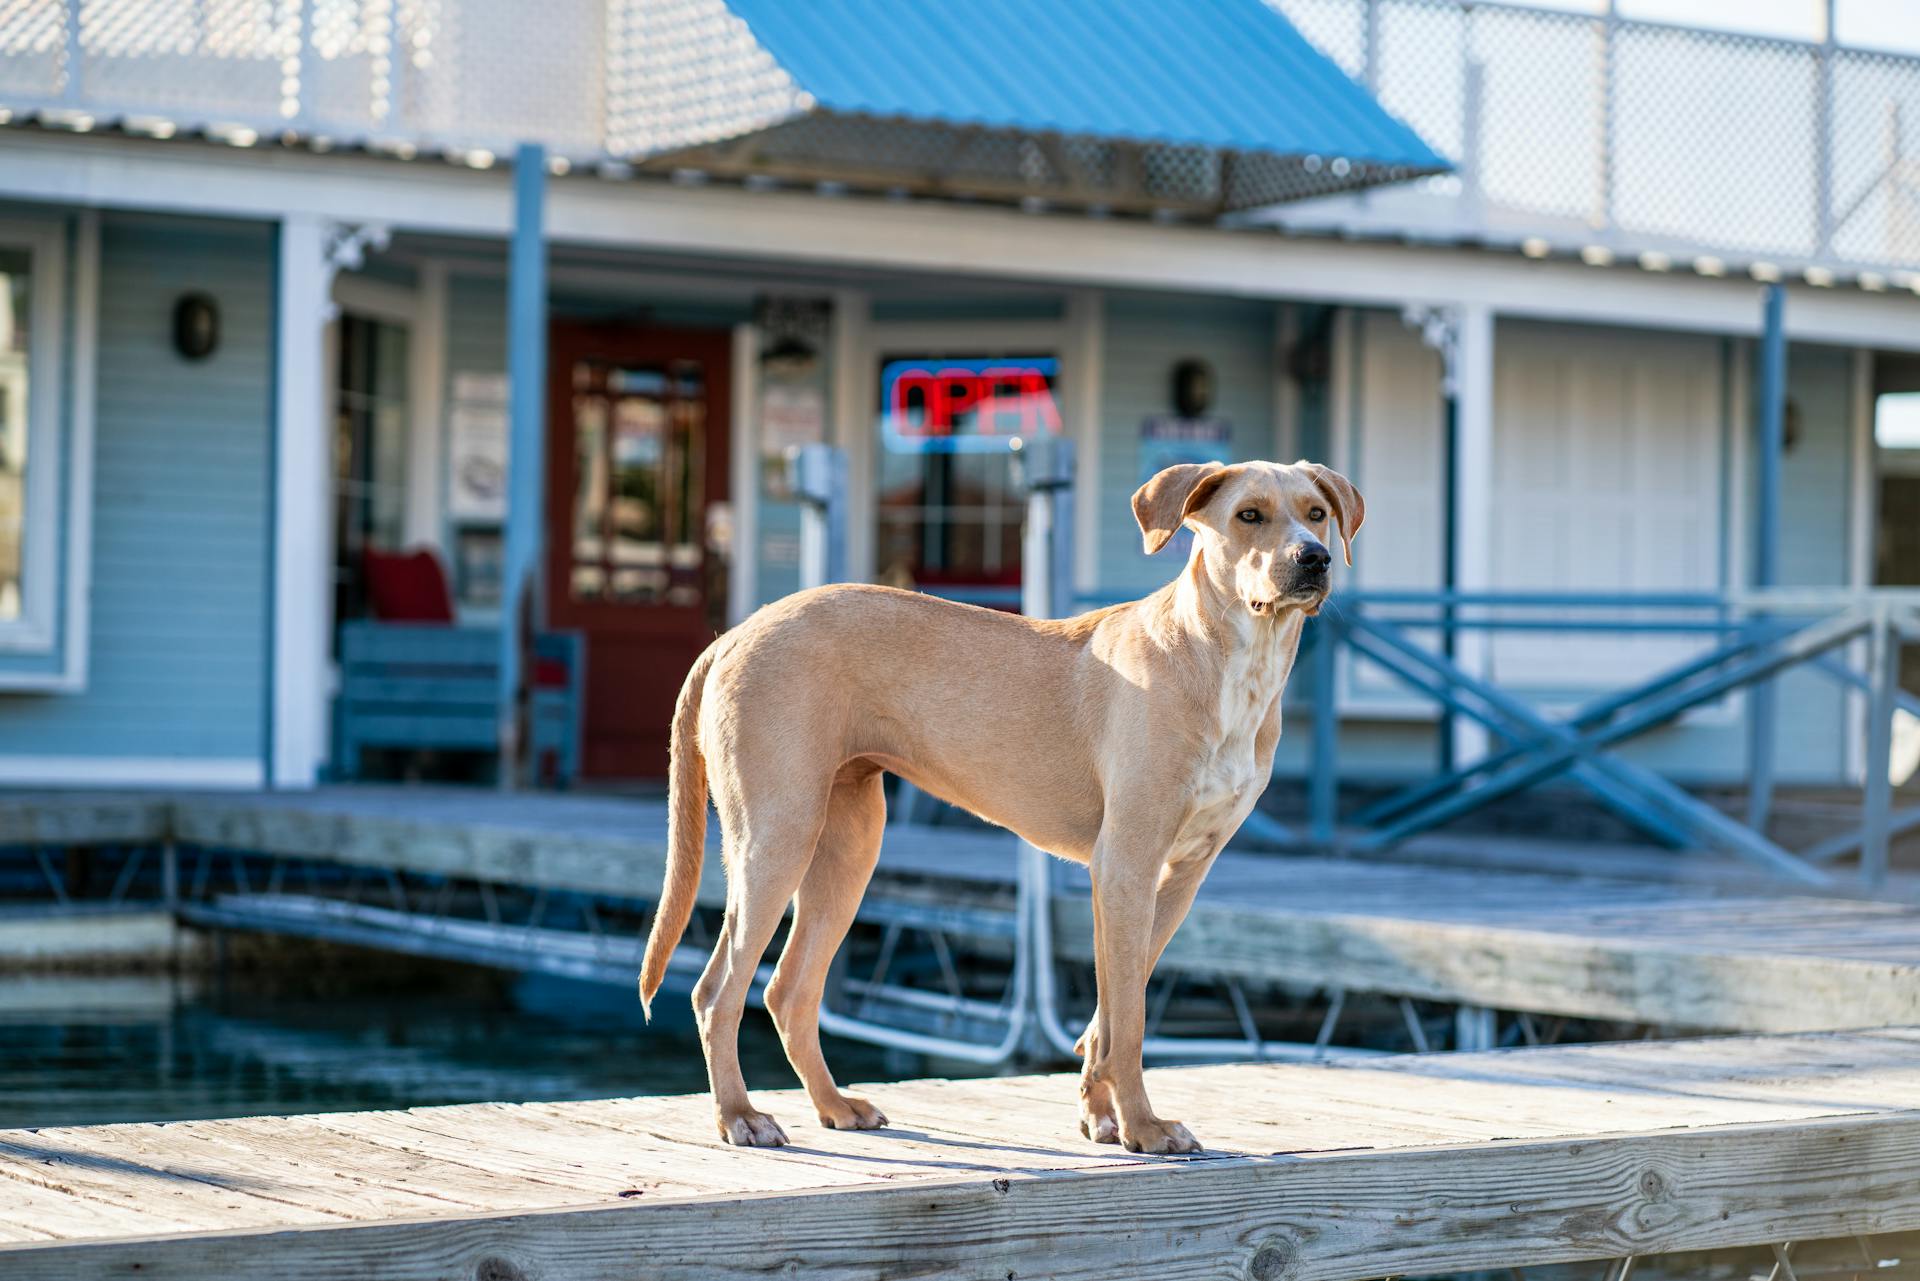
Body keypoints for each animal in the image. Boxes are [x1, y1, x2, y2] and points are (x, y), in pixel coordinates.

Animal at [645, 459, 1367, 1152]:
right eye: (1249, 515)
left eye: (1316, 514)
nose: (1313, 559)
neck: (1229, 660)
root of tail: (736, 633)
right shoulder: (1126, 863)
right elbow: (1130, 1020)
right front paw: (1145, 1128)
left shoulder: (1176, 874)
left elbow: (1111, 1009)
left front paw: (1102, 1117)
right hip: (776, 835)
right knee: (717, 991)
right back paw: (741, 1116)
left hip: (847, 848)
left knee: (788, 989)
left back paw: (835, 1107)